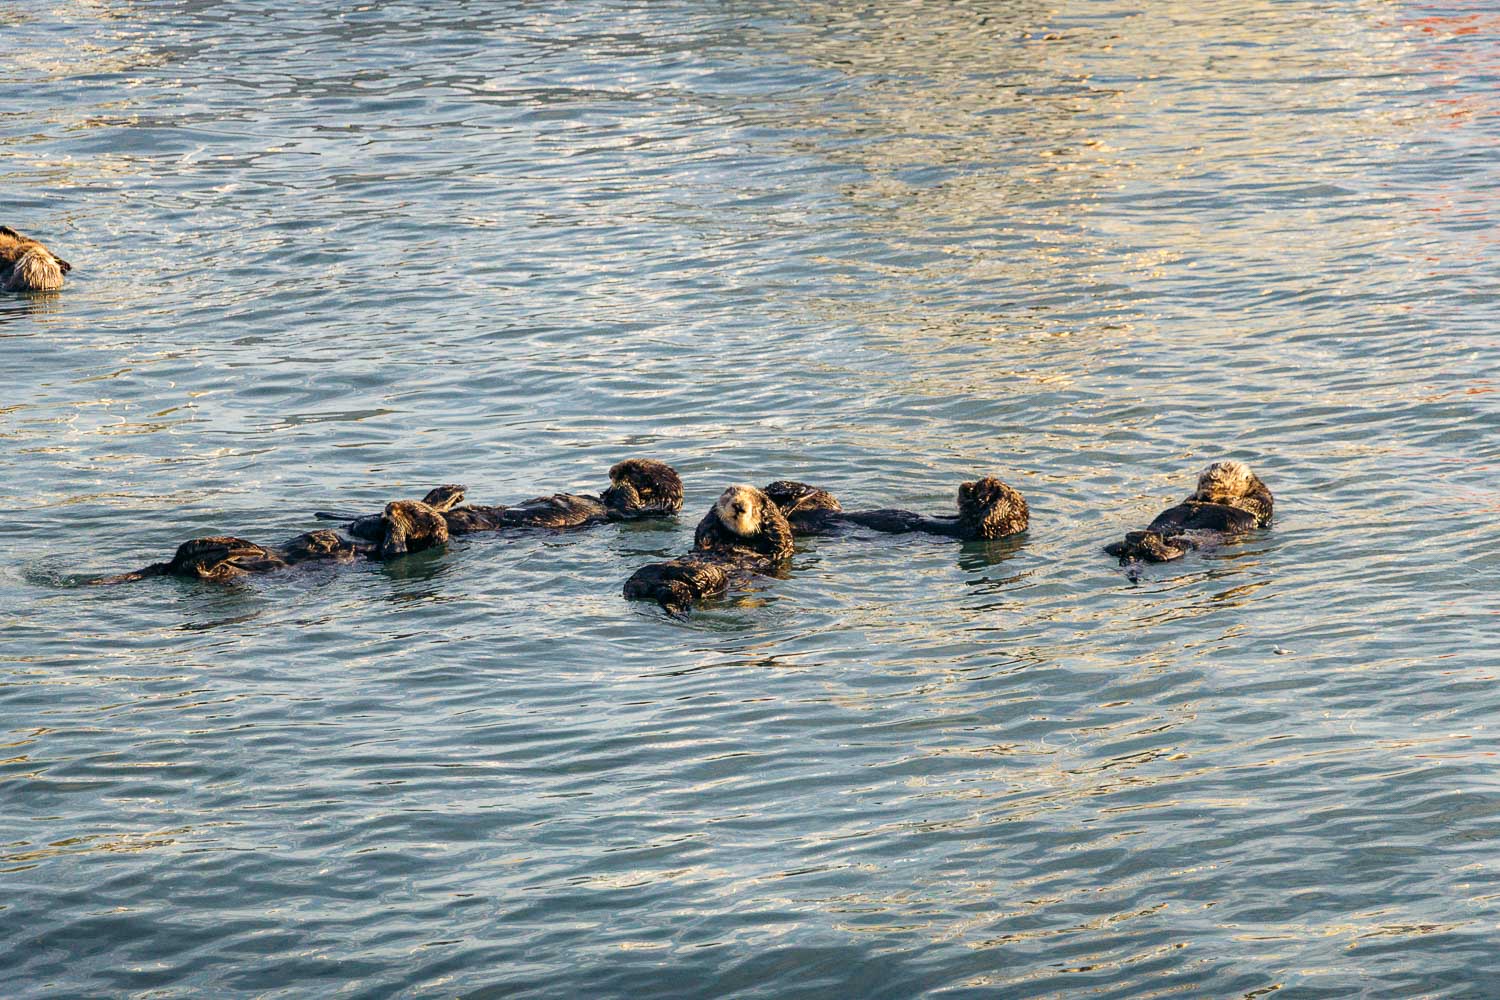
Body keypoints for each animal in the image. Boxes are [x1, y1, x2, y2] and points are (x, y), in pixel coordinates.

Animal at [624, 484, 794, 614]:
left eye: (755, 507)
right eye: (731, 495)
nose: (739, 505)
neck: (735, 538)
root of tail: (665, 588)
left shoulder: (780, 549)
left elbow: (781, 534)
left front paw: (767, 505)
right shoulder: (706, 536)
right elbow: (705, 528)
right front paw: (717, 508)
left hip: (715, 578)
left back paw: (683, 570)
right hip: (643, 577)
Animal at [1104, 461, 1273, 565]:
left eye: (1222, 485)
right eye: (1203, 482)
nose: (1205, 495)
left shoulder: (1262, 501)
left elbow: (1249, 503)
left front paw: (1229, 499)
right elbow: (1188, 500)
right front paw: (1194, 500)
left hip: (1190, 543)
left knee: (1166, 553)